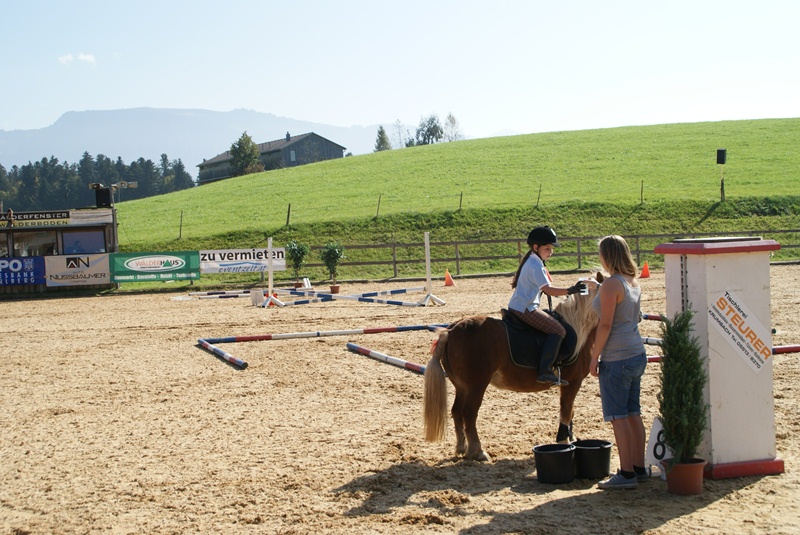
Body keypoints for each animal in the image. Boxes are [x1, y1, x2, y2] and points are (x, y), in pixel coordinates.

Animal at [423, 273, 603, 462]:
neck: (579, 326)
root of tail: (451, 331)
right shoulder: (573, 382)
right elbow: (566, 411)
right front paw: (564, 440)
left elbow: (571, 411)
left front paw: (572, 438)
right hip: (477, 385)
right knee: (469, 414)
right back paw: (478, 451)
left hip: (462, 386)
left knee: (457, 412)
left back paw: (461, 447)